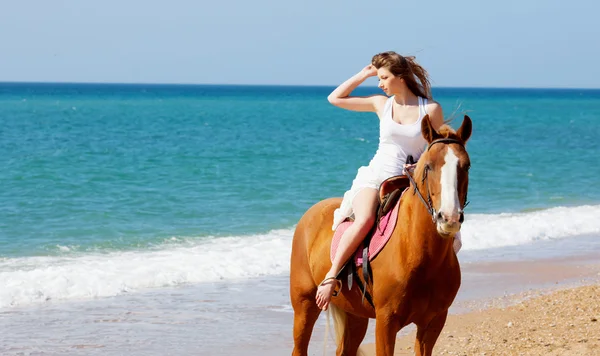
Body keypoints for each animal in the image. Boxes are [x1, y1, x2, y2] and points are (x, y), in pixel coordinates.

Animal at [288, 114, 472, 356]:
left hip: (355, 315)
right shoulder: (386, 322)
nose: (449, 217)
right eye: (429, 166)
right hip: (304, 306)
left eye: (466, 166)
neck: (416, 252)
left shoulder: (433, 322)